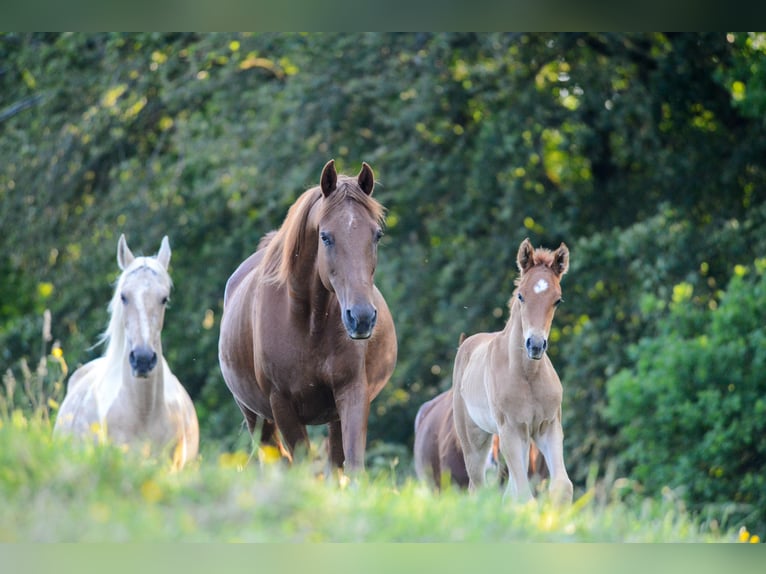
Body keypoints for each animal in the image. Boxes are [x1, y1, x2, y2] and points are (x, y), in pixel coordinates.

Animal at [216, 160, 396, 474]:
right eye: (325, 237)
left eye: (377, 235)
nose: (361, 317)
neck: (309, 323)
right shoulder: (282, 406)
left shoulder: (352, 394)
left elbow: (352, 465)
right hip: (255, 416)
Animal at [452, 238, 572, 504]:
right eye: (521, 295)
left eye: (558, 300)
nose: (535, 345)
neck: (528, 376)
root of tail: (466, 343)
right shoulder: (510, 431)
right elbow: (524, 495)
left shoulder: (548, 427)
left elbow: (562, 486)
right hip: (475, 441)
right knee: (477, 486)